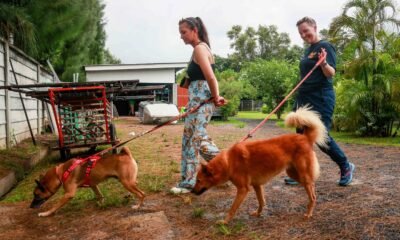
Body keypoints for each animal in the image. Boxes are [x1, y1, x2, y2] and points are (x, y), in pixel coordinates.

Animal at [192, 107, 326, 223]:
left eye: (198, 180)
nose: (192, 191)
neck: (228, 162)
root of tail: (305, 138)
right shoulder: (257, 185)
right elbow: (261, 202)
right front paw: (258, 213)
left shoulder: (243, 189)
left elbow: (232, 208)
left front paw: (224, 222)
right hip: (294, 173)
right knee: (312, 185)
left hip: (302, 175)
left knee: (313, 196)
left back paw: (309, 213)